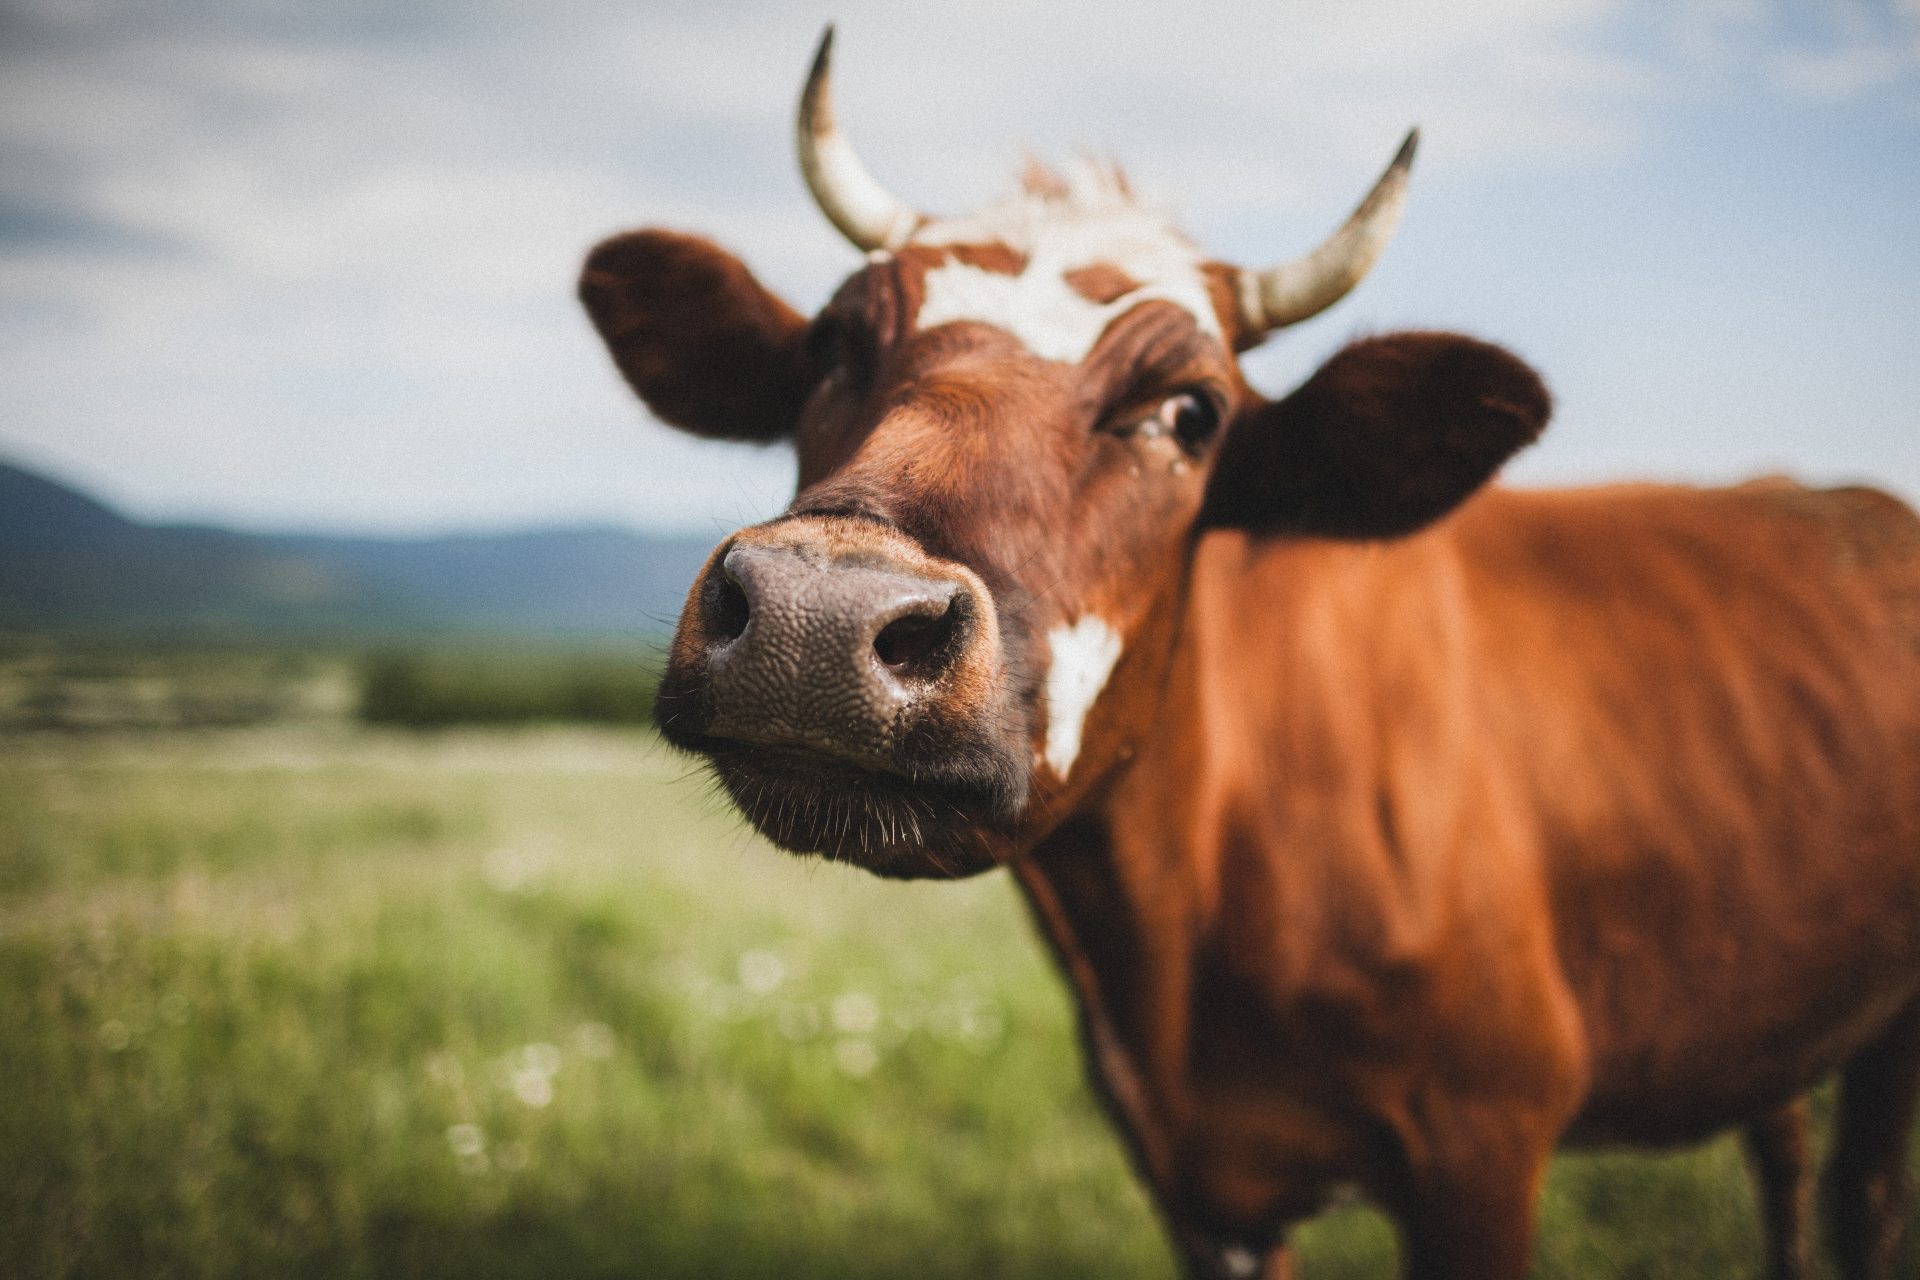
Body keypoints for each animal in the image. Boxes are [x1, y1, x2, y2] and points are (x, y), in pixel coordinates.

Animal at [576, 29, 1920, 1280]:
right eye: (832, 350)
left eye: (1191, 412)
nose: (816, 615)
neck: (1174, 940)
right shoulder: (1196, 1185)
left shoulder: (1484, 1144)